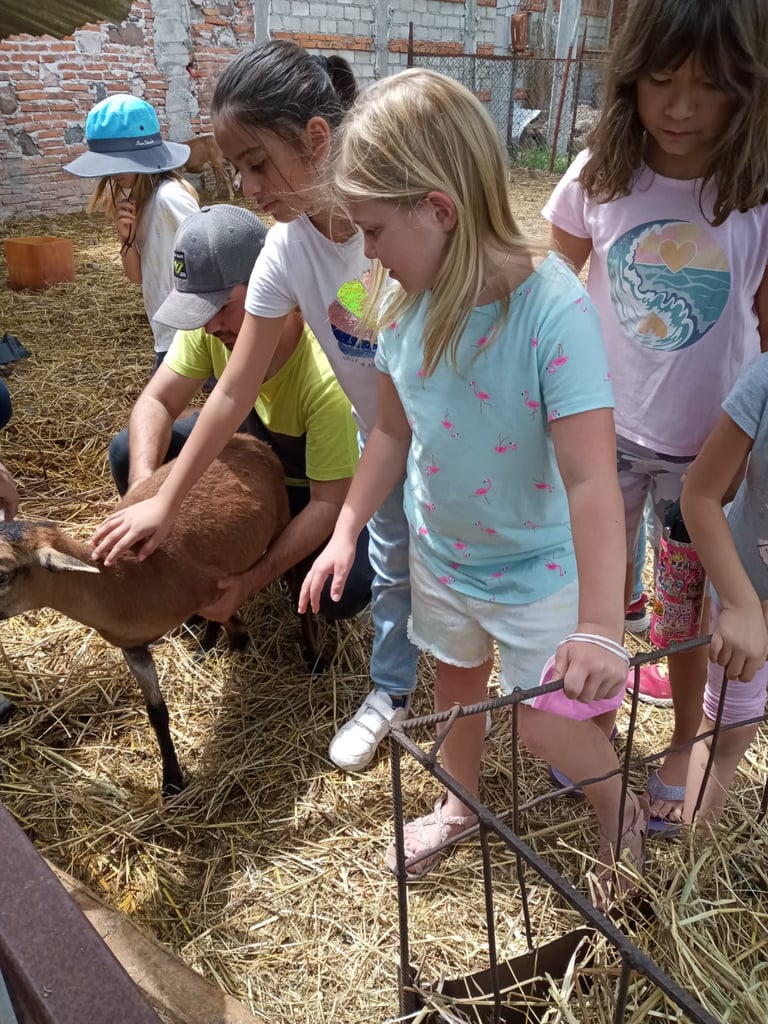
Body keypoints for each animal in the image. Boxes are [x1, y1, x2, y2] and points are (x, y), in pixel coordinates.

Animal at [0, 435, 294, 798]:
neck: (123, 581)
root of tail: (251, 440)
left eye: (2, 574)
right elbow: (156, 712)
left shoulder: (215, 592)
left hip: (281, 519)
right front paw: (171, 780)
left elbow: (237, 629)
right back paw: (204, 648)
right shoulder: (133, 647)